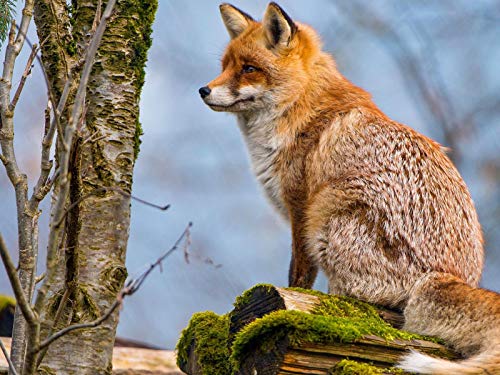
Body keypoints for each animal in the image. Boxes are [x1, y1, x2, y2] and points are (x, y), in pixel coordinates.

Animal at [199, 2, 500, 375]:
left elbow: (298, 277)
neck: (299, 111)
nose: (204, 90)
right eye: (225, 66)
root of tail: (449, 275)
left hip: (329, 215)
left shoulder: (301, 210)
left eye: (249, 69)